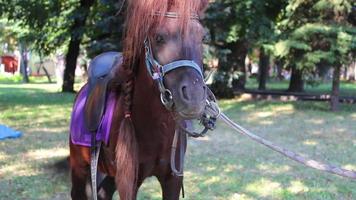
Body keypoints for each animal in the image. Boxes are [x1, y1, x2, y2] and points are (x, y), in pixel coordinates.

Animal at [69, 0, 209, 199]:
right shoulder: (129, 183)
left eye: (203, 38)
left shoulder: (172, 180)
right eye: (159, 38)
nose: (194, 98)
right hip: (80, 167)